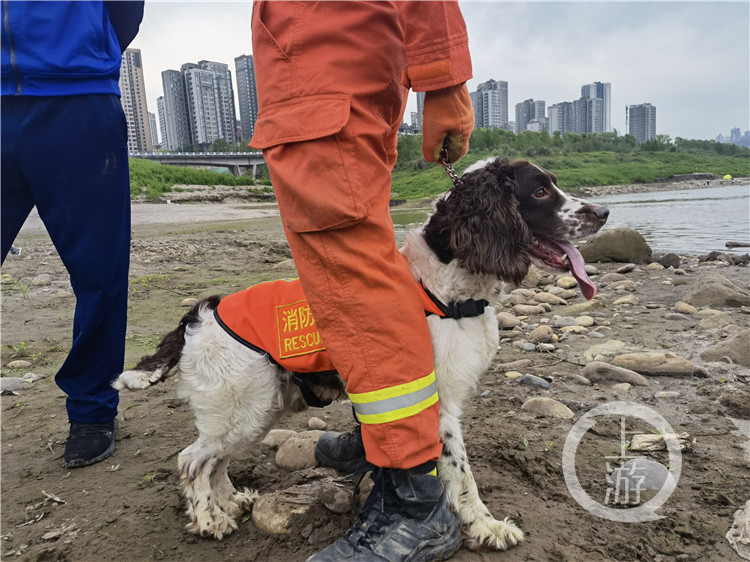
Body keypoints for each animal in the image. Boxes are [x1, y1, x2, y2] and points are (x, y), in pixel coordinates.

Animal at [116, 156, 612, 548]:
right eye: (541, 190)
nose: (604, 211)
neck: (445, 285)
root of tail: (203, 310)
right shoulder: (435, 401)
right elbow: (461, 474)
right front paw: (485, 526)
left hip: (259, 408)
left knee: (215, 462)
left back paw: (232, 502)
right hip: (242, 406)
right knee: (192, 461)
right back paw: (208, 520)